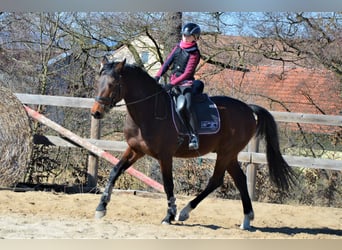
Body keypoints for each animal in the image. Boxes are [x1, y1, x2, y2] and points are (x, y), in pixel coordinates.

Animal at [91, 57, 296, 229]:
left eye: (112, 84)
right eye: (97, 83)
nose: (96, 112)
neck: (148, 112)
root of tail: (247, 108)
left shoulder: (165, 156)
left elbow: (168, 184)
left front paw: (169, 216)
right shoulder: (135, 149)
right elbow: (115, 171)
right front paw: (101, 207)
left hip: (226, 153)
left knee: (216, 180)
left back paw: (184, 212)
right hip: (229, 155)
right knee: (239, 179)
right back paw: (246, 219)